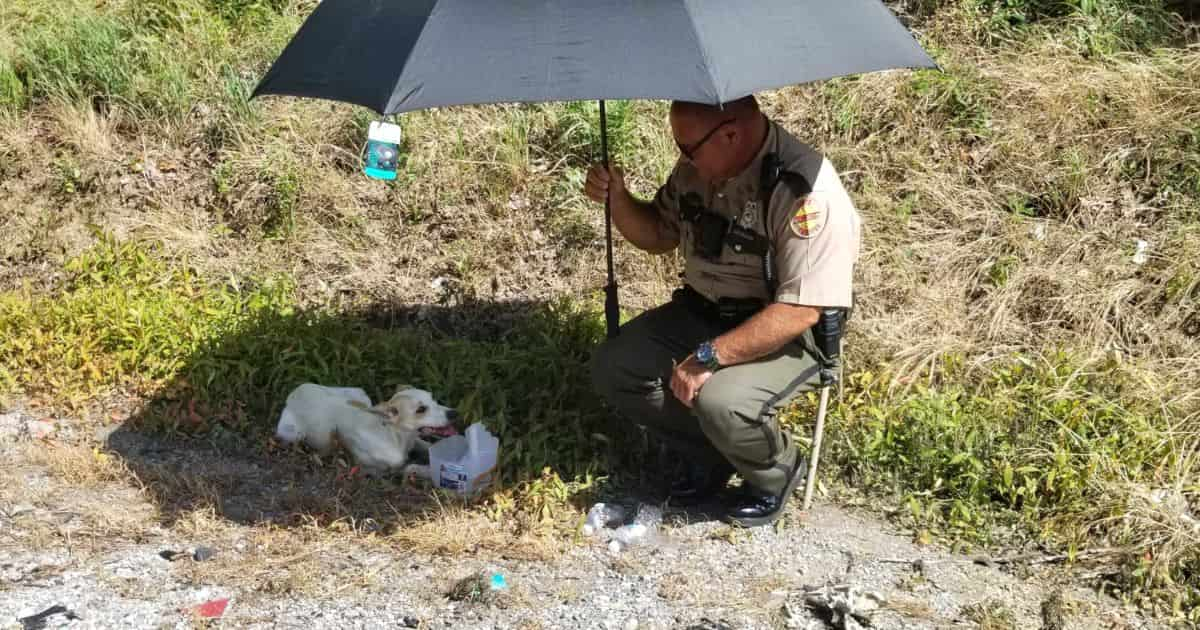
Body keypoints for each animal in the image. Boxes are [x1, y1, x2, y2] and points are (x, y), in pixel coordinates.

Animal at [276, 384, 458, 477]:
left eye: (433, 399)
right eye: (421, 409)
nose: (454, 413)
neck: (393, 435)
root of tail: (294, 392)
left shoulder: (415, 440)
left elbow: (428, 446)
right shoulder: (381, 468)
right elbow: (408, 467)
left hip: (359, 394)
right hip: (291, 434)